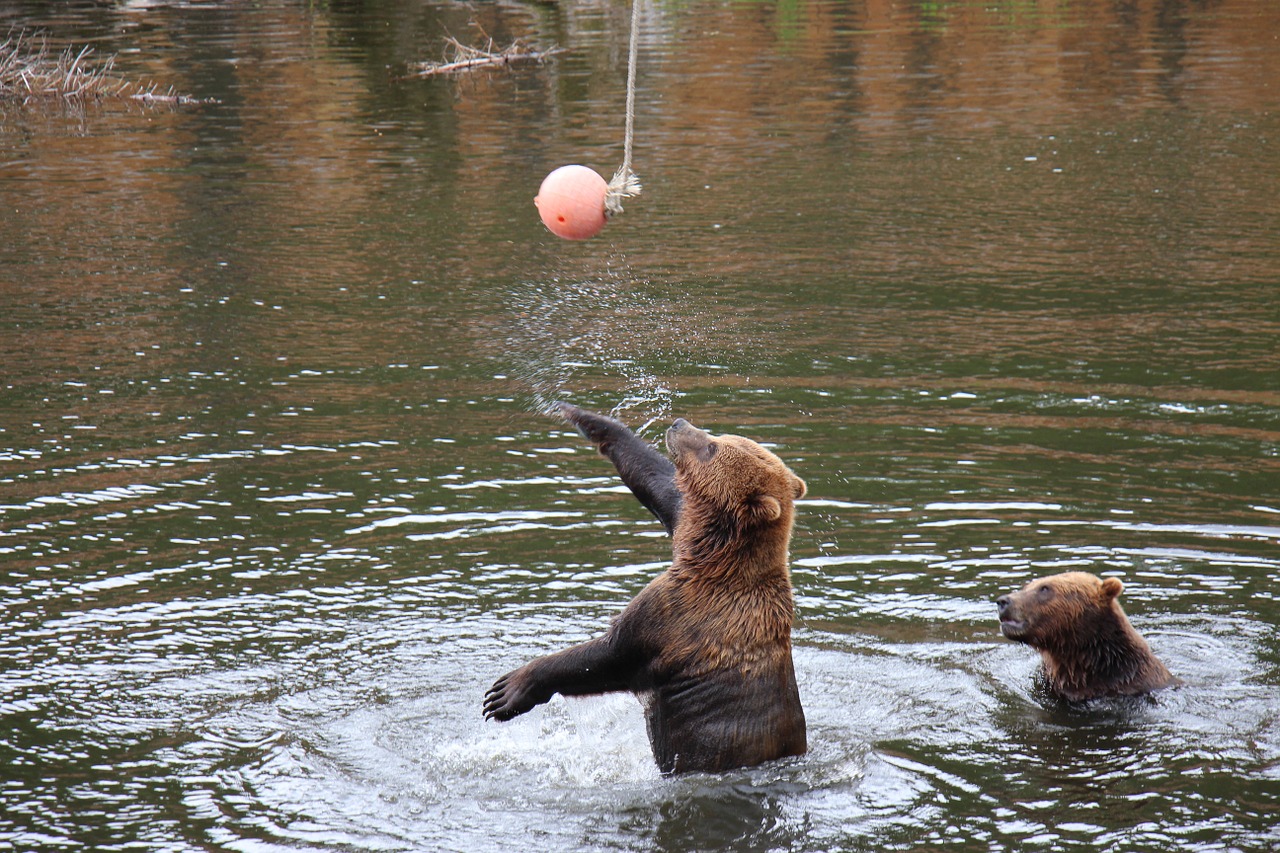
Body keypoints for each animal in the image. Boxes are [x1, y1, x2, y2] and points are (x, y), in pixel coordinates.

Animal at [483, 404, 803, 768]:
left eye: (711, 447)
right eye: (718, 437)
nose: (679, 424)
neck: (716, 559)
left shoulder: (677, 617)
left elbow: (609, 655)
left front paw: (507, 691)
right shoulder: (684, 524)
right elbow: (659, 484)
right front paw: (588, 419)